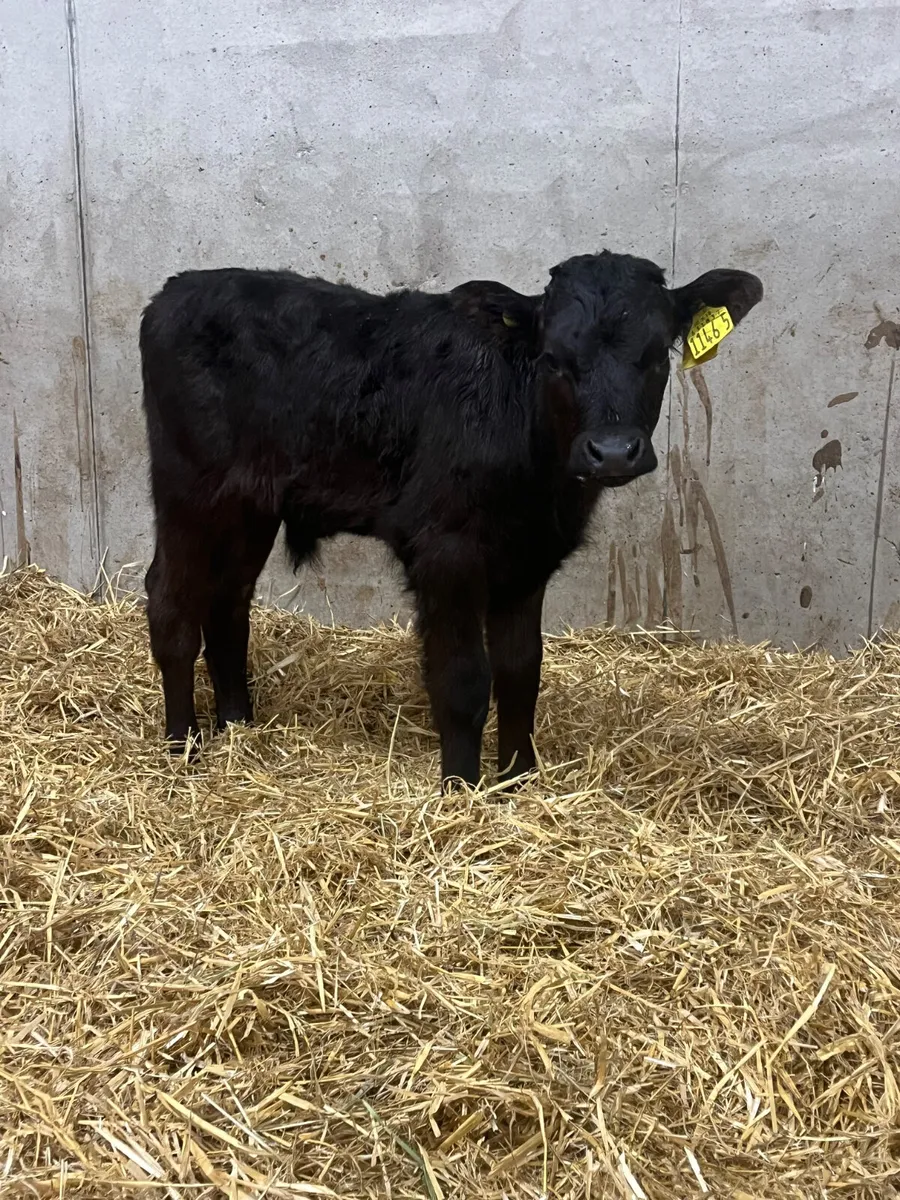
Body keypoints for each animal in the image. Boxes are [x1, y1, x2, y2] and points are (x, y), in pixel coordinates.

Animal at [140, 251, 762, 789]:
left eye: (657, 356)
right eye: (555, 360)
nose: (611, 452)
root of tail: (176, 289)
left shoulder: (529, 558)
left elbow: (520, 671)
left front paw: (517, 781)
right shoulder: (445, 550)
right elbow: (463, 679)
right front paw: (461, 789)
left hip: (250, 506)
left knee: (228, 602)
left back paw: (237, 727)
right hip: (187, 490)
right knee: (171, 600)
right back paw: (183, 747)